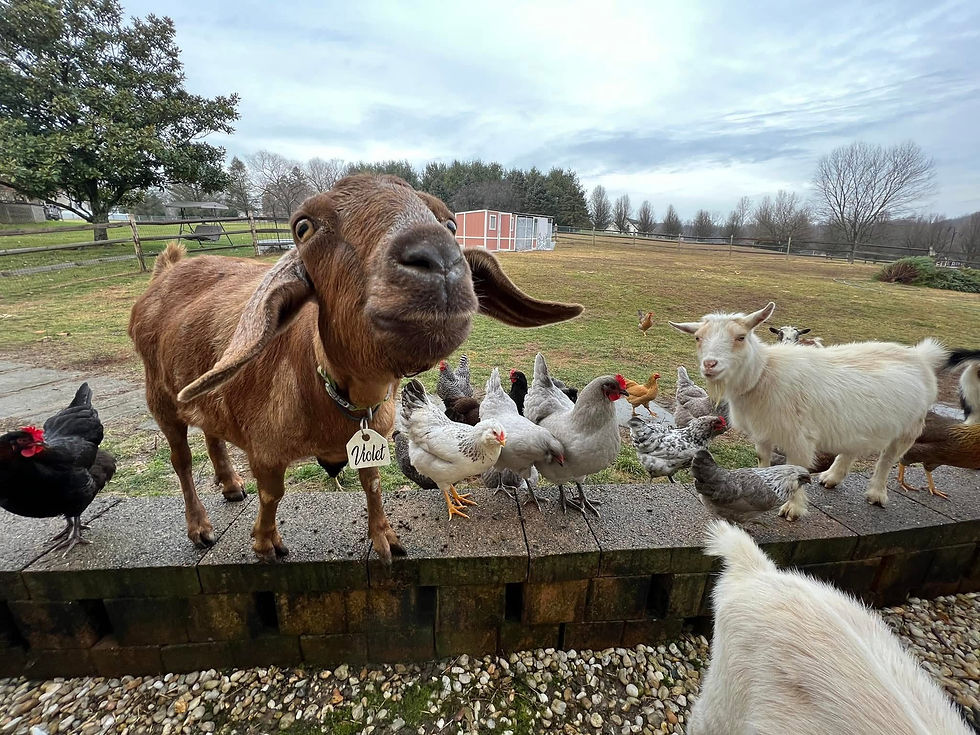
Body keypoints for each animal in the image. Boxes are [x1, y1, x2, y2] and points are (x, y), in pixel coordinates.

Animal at [129, 175, 582, 562]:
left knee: (211, 431)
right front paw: (265, 543)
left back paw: (230, 484)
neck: (334, 398)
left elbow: (373, 483)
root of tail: (169, 268)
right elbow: (273, 494)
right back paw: (200, 527)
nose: (437, 258)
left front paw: (385, 539)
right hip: (160, 397)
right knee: (182, 460)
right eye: (303, 227)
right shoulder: (266, 449)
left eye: (451, 223)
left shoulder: (375, 435)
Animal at [668, 302, 976, 515]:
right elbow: (763, 461)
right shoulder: (764, 431)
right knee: (852, 448)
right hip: (858, 423)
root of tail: (920, 356)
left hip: (910, 426)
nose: (710, 364)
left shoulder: (799, 437)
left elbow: (797, 467)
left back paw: (876, 494)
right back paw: (832, 478)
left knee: (888, 458)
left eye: (741, 337)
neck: (765, 374)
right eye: (698, 338)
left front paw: (792, 509)